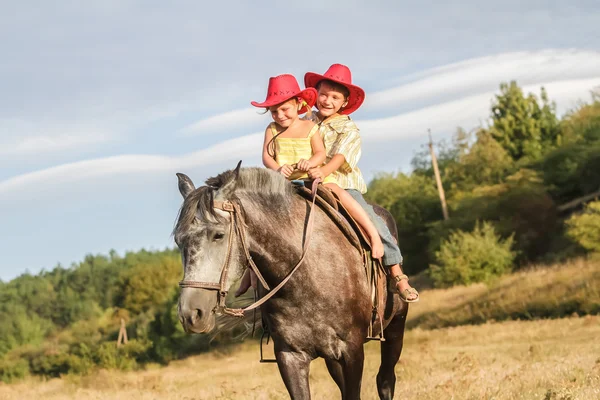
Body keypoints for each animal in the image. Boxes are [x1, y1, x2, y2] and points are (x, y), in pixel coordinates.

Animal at [172, 163, 408, 400]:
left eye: (218, 235)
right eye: (178, 240)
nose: (191, 314)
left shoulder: (351, 350)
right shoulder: (290, 356)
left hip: (395, 326)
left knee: (385, 380)